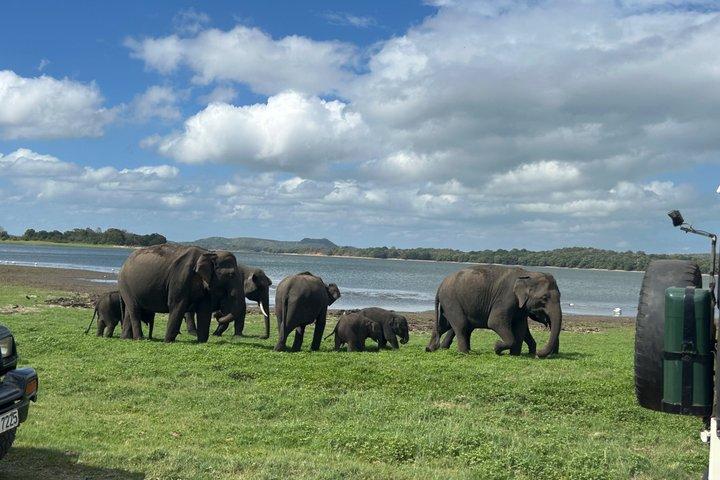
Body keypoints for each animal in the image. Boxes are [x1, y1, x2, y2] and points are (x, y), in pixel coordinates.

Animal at [425, 265, 562, 357]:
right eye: (544, 298)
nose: (539, 353)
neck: (528, 273)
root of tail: (440, 286)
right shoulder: (506, 298)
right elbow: (495, 322)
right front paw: (496, 347)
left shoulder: (520, 307)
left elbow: (520, 327)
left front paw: (514, 354)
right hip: (451, 301)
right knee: (461, 325)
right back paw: (465, 353)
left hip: (448, 304)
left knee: (443, 325)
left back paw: (430, 348)